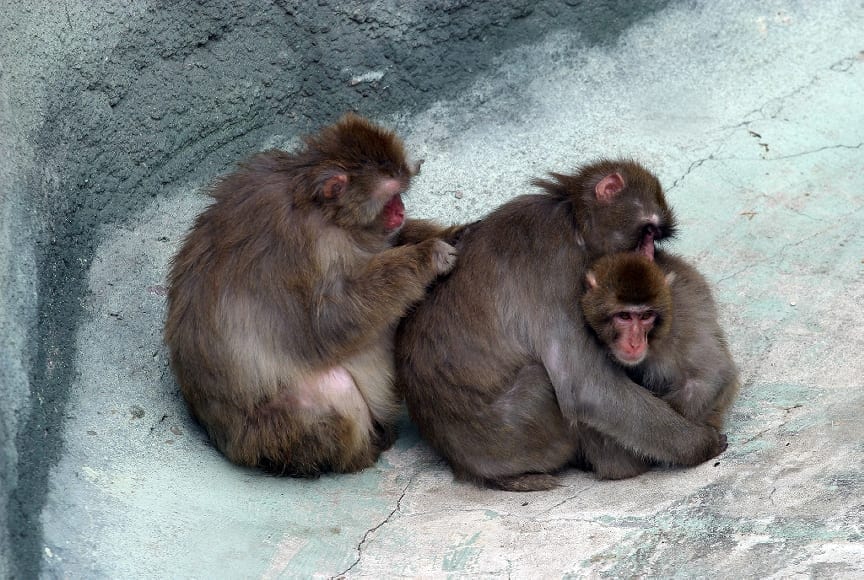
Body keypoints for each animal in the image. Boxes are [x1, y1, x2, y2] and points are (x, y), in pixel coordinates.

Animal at [164, 112, 460, 476]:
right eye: (392, 194)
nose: (401, 211)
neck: (319, 207)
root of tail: (228, 444)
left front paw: (446, 233)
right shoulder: (307, 249)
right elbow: (329, 323)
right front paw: (427, 256)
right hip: (275, 435)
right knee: (334, 385)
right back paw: (364, 452)